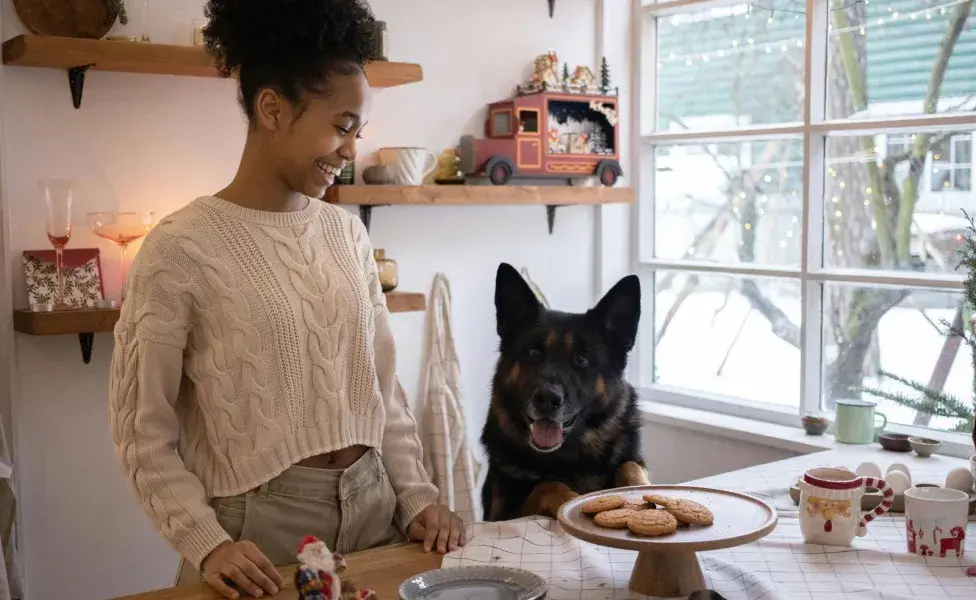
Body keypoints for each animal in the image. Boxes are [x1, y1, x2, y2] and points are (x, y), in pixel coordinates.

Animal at [478, 262, 648, 520]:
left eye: (582, 360)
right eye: (533, 352)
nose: (547, 398)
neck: (570, 455)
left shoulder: (630, 458)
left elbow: (630, 466)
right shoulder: (500, 513)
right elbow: (547, 485)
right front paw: (571, 499)